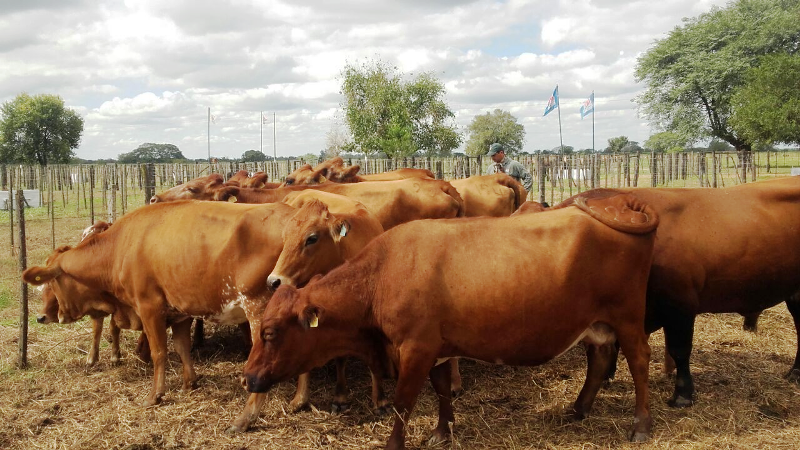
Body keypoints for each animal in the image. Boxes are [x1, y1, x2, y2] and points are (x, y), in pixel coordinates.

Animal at [241, 193, 660, 446]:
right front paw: (442, 433)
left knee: (639, 361)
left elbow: (403, 402)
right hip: (596, 324)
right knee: (600, 359)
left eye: (270, 332)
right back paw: (578, 408)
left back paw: (641, 425)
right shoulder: (439, 348)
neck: (382, 273)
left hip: (627, 318)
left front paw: (394, 443)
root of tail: (621, 201)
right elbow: (442, 390)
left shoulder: (416, 349)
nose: (247, 377)